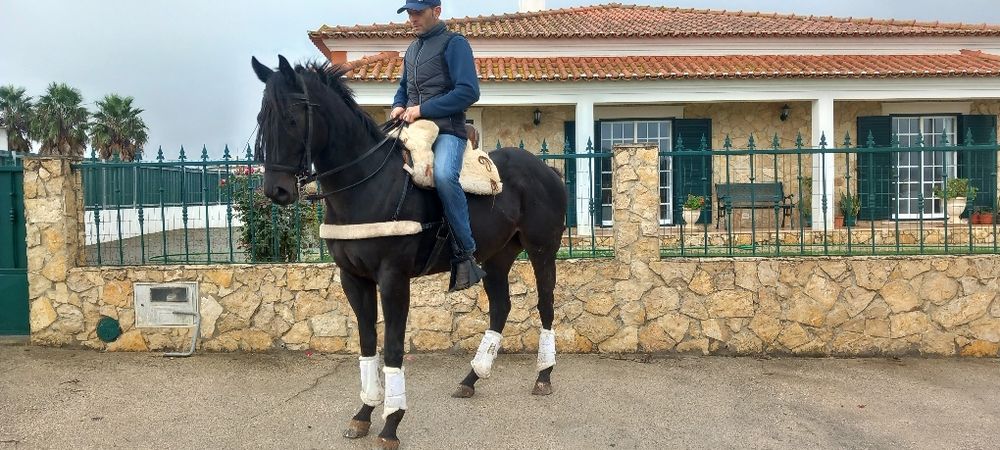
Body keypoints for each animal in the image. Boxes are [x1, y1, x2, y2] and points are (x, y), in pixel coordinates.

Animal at [251, 55, 567, 449]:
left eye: (292, 119)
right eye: (262, 119)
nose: (275, 190)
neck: (366, 185)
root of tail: (548, 170)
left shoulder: (393, 279)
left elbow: (393, 347)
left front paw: (391, 423)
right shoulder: (353, 278)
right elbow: (367, 343)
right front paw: (364, 414)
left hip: (542, 251)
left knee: (545, 305)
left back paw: (543, 375)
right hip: (496, 257)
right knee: (501, 307)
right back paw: (471, 378)